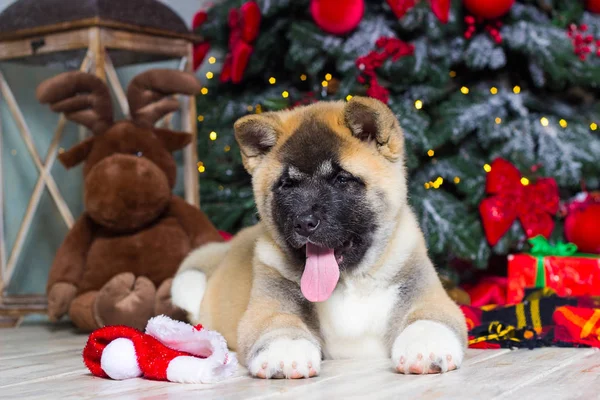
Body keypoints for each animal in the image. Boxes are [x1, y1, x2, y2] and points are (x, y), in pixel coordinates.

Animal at [171, 96, 466, 378]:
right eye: (286, 184)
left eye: (341, 179)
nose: (304, 223)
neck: (349, 284)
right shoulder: (268, 306)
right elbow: (280, 324)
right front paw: (286, 351)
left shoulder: (427, 295)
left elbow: (428, 320)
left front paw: (426, 346)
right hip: (187, 281)